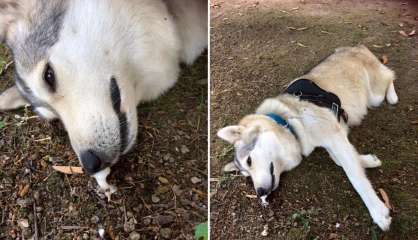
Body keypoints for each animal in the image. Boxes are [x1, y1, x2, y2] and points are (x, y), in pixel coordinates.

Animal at [217, 45, 396, 231]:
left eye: (249, 161)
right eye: (246, 176)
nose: (259, 193)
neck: (288, 123)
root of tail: (356, 46)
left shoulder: (334, 136)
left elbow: (355, 177)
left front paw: (378, 212)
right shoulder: (337, 135)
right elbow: (341, 160)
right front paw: (368, 160)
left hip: (375, 95)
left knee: (390, 75)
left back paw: (392, 96)